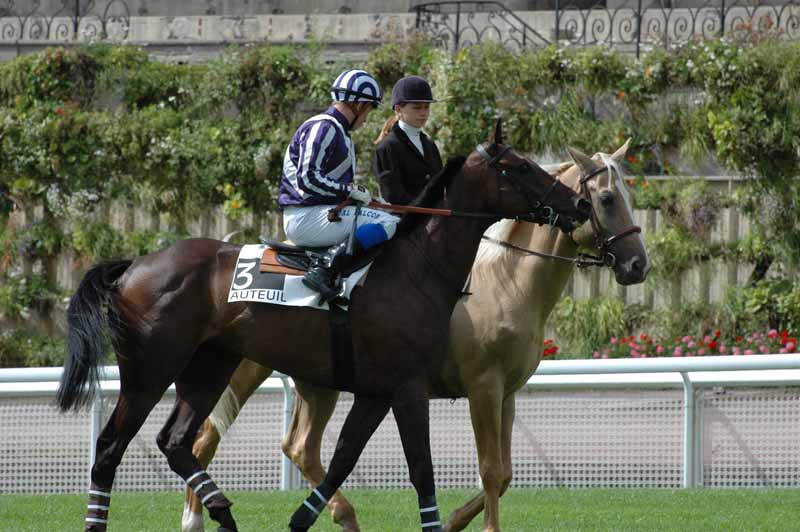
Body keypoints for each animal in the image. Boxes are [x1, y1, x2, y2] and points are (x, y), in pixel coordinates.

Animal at [57, 121, 592, 532]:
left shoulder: (379, 391)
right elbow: (422, 470)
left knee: (177, 441)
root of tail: (133, 266)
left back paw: (222, 510)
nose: (579, 206)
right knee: (110, 448)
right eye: (520, 167)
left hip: (210, 367)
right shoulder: (411, 387)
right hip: (150, 371)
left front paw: (304, 518)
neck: (417, 267)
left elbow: (342, 460)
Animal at [178, 140, 648, 532]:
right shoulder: (483, 388)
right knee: (205, 440)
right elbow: (491, 469)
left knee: (299, 448)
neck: (505, 281)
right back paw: (196, 519)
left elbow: (505, 473)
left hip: (316, 383)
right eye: (606, 199)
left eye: (627, 197)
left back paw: (341, 515)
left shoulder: (508, 393)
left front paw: (455, 519)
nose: (637, 265)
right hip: (242, 373)